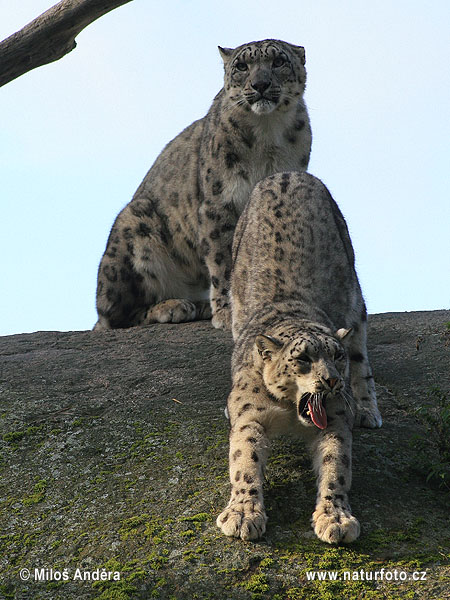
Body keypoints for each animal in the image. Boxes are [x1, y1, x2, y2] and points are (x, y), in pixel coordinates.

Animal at [93, 39, 312, 330]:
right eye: (242, 66)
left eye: (278, 61)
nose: (260, 84)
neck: (268, 134)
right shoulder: (219, 205)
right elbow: (223, 262)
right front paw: (227, 312)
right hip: (133, 227)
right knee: (117, 316)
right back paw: (173, 306)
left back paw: (199, 306)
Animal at [216, 170, 382, 544]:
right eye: (303, 359)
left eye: (336, 358)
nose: (332, 381)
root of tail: (287, 174)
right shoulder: (250, 414)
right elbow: (243, 460)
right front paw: (243, 514)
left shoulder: (335, 418)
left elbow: (336, 467)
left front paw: (336, 518)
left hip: (354, 295)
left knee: (362, 354)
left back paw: (367, 409)